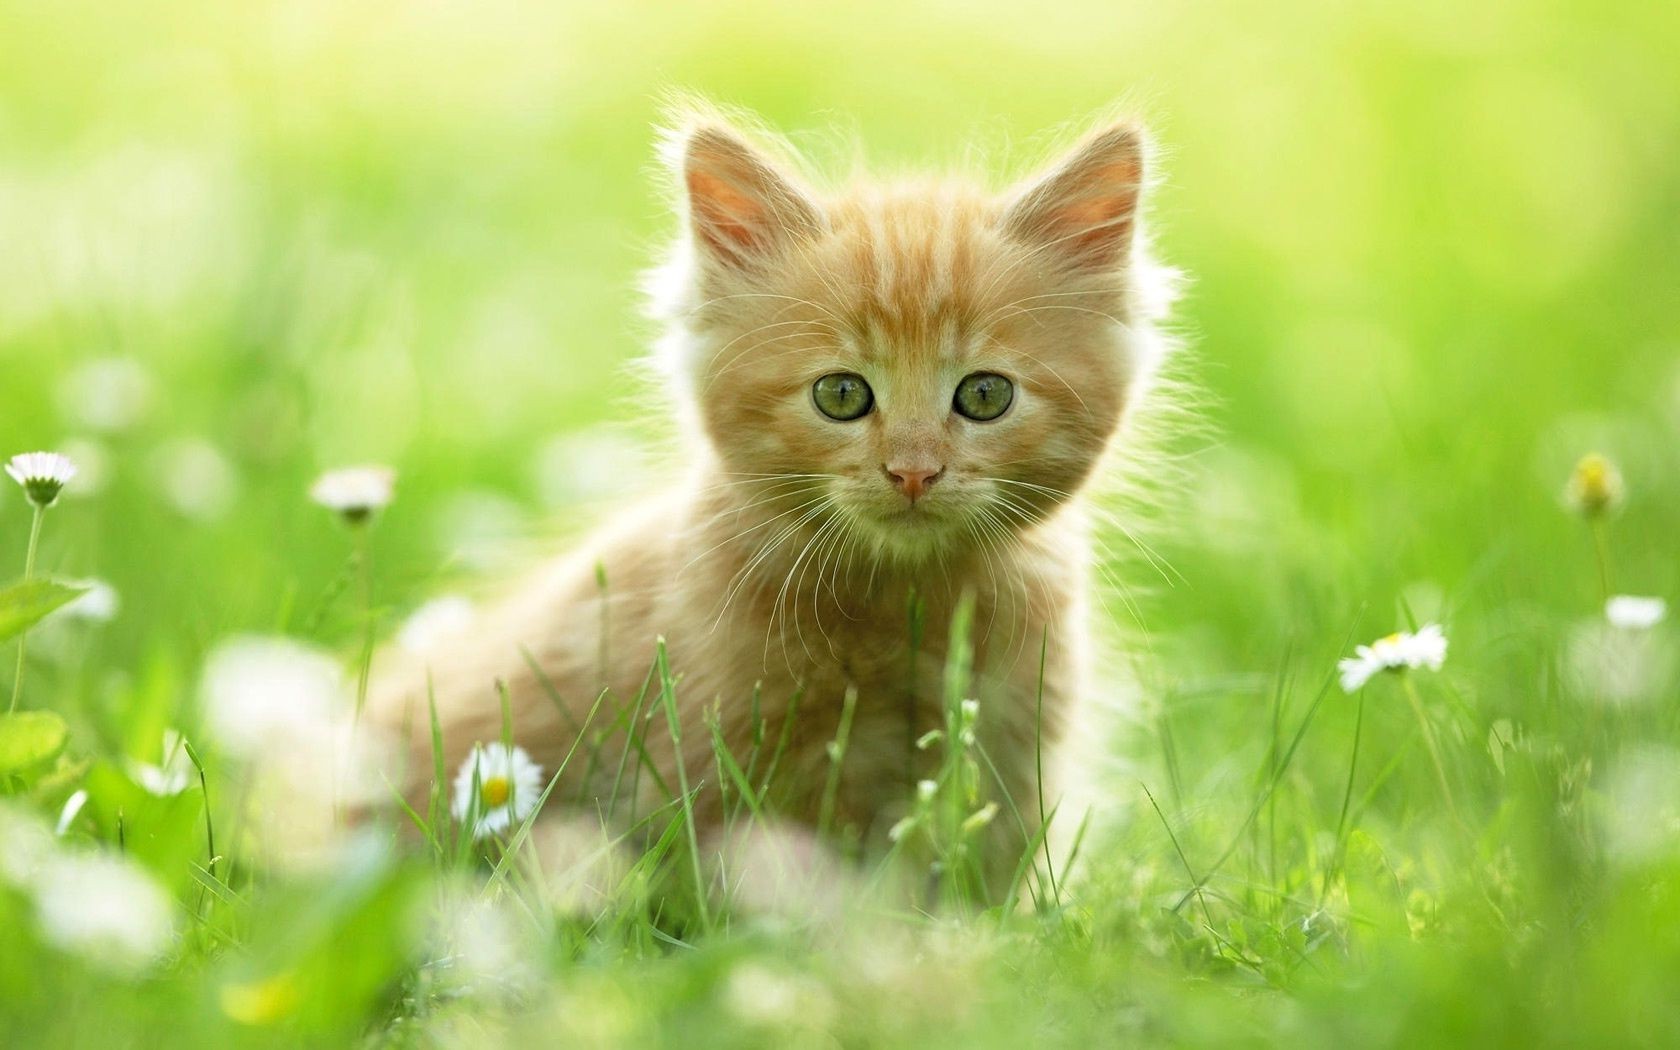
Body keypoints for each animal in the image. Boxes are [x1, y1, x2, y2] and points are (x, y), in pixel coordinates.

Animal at [371, 104, 1169, 893]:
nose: (913, 472)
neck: (903, 606)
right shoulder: (707, 749)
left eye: (984, 395)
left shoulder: (1010, 740)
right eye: (841, 394)